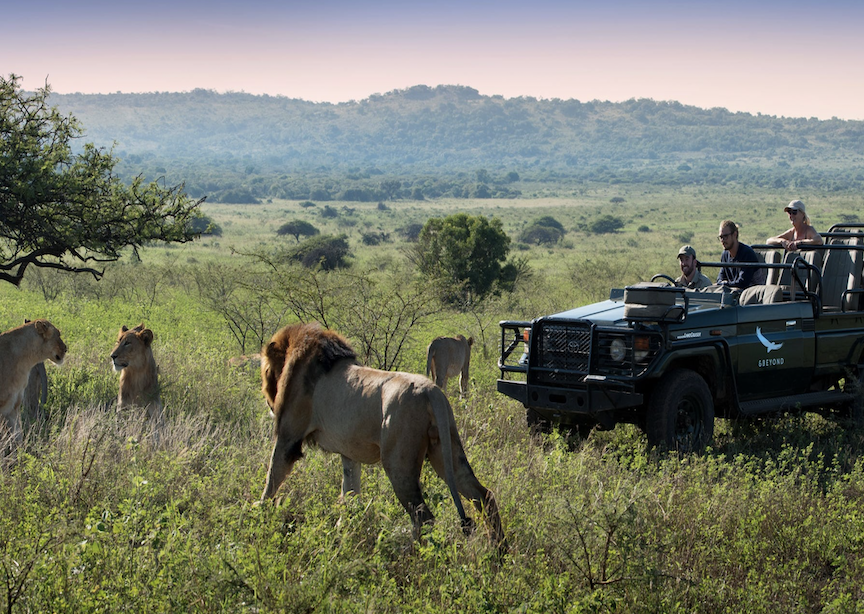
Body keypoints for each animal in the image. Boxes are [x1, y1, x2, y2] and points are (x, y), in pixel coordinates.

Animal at [264, 322, 506, 548]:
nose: (268, 403)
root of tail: (432, 393)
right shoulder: (349, 453)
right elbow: (349, 491)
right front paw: (344, 528)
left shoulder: (288, 437)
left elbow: (271, 480)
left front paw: (260, 517)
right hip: (448, 450)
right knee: (483, 496)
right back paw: (498, 550)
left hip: (398, 464)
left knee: (423, 517)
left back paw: (412, 556)